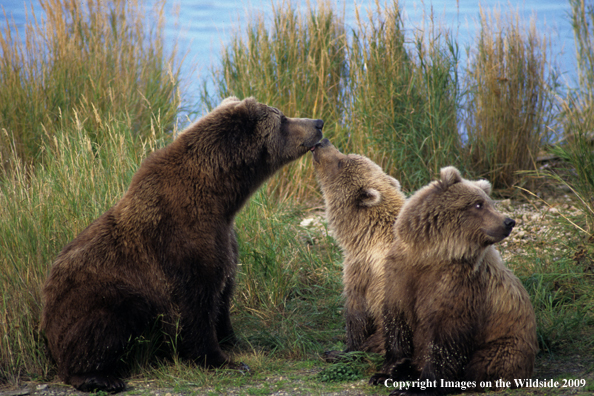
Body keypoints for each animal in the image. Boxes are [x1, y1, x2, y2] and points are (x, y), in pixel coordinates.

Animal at [40, 96, 324, 392]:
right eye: (283, 119)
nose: (318, 123)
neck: (220, 197)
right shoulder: (180, 242)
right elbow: (194, 305)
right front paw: (223, 361)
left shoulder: (224, 239)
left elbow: (223, 295)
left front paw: (234, 342)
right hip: (98, 296)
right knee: (104, 325)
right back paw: (100, 377)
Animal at [310, 138, 402, 360]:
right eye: (346, 155)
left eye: (341, 162)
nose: (323, 141)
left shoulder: (364, 267)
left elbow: (357, 309)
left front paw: (343, 349)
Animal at [372, 166, 540, 394]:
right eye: (479, 204)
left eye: (490, 202)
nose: (509, 222)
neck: (432, 255)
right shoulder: (402, 273)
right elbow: (397, 319)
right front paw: (387, 372)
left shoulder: (459, 285)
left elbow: (446, 336)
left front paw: (418, 386)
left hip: (504, 343)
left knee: (487, 362)